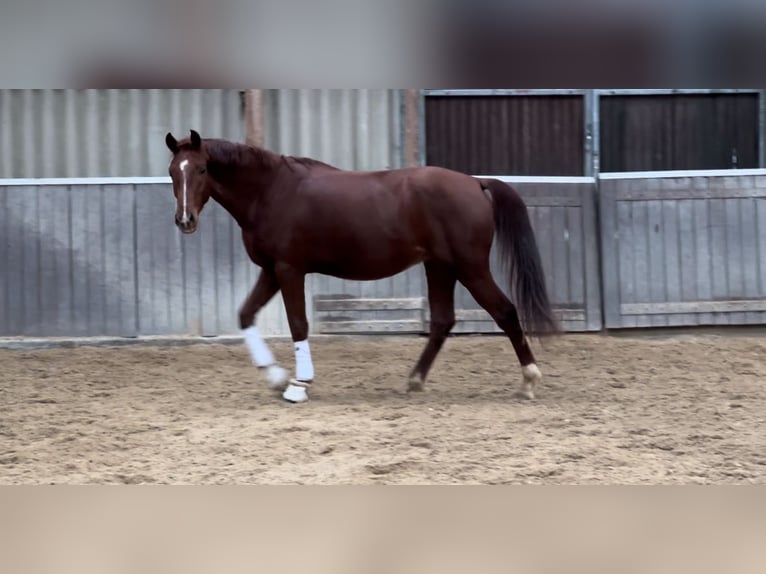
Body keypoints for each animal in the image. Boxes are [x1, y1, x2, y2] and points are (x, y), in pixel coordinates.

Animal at [165, 130, 560, 404]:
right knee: (442, 321)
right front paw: (275, 377)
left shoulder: (289, 269)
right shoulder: (271, 271)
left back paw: (529, 381)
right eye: (172, 172)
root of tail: (475, 183)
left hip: (470, 268)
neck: (271, 192)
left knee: (504, 311)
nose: (185, 220)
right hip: (440, 267)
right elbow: (245, 314)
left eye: (201, 168)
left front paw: (298, 384)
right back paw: (414, 381)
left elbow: (298, 324)